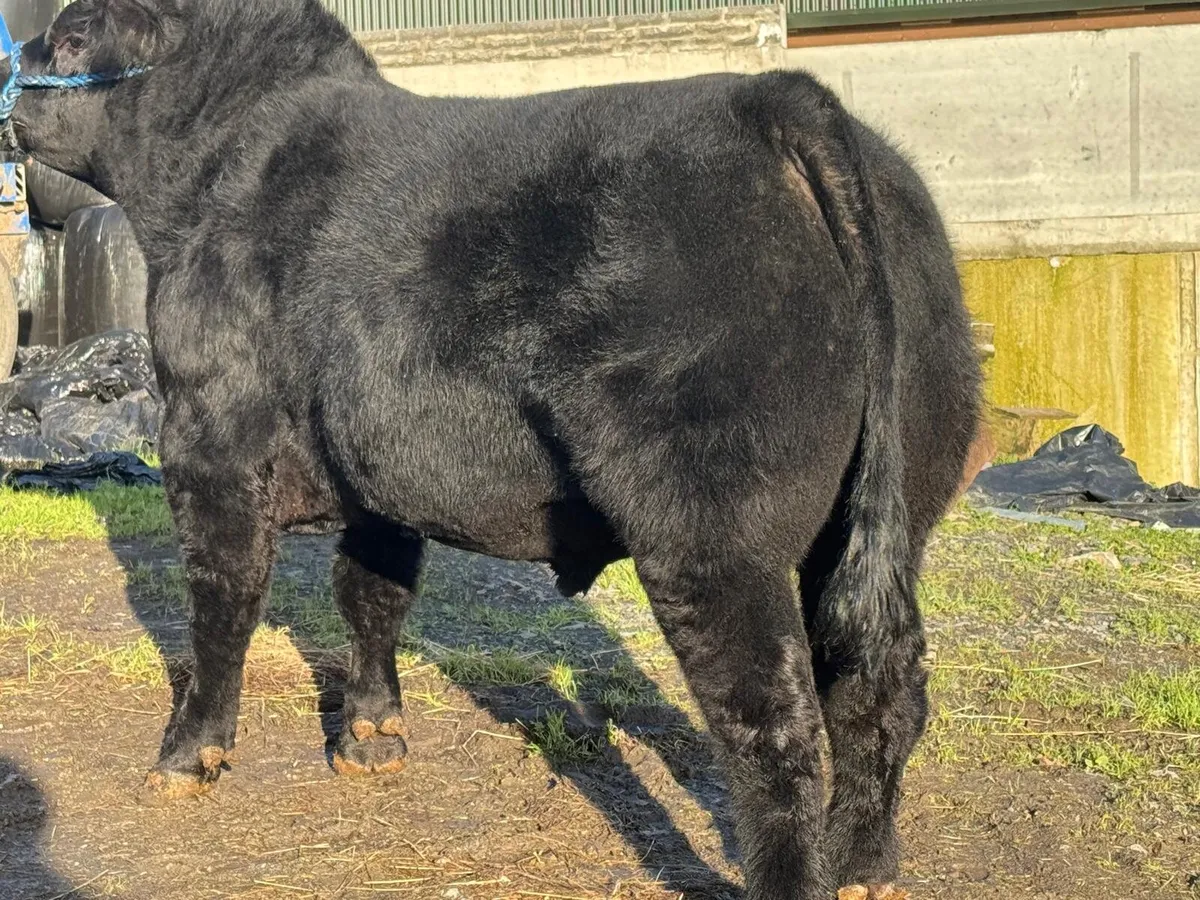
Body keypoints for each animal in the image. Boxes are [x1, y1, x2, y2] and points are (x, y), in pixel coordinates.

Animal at [3, 0, 981, 896]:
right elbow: (372, 590)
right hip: (887, 511)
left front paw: (189, 755)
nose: (13, 83)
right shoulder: (378, 465)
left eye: (74, 35)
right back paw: (864, 866)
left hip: (711, 529)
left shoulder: (210, 435)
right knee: (879, 685)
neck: (215, 170)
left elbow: (221, 604)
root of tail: (774, 99)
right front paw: (371, 735)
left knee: (774, 725)